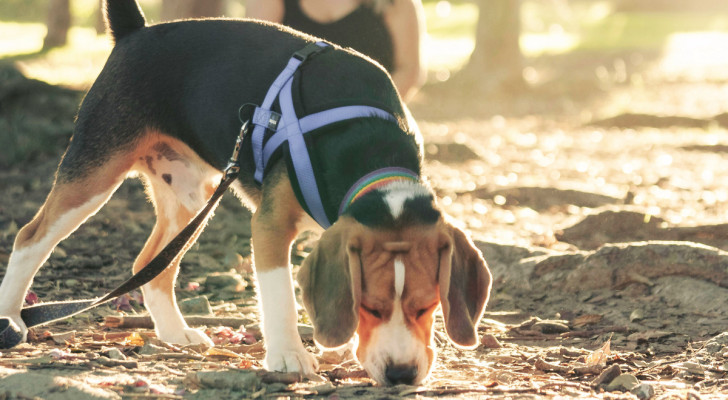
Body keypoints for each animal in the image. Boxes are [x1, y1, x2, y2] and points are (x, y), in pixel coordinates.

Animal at [0, 0, 492, 386]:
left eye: (429, 306)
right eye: (368, 307)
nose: (401, 375)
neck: (369, 150)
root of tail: (136, 31)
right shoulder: (271, 224)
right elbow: (280, 296)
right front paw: (289, 355)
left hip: (190, 199)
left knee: (150, 265)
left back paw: (174, 334)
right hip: (95, 171)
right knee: (30, 238)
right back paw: (9, 319)